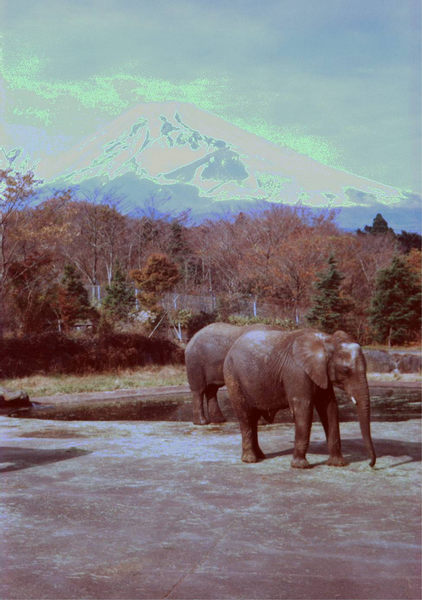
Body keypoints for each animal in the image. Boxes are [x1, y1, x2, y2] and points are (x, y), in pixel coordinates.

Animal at [224, 328, 376, 468]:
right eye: (346, 370)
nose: (370, 464)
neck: (326, 341)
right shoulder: (297, 372)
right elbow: (304, 408)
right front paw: (300, 466)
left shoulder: (321, 373)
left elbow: (329, 407)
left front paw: (338, 464)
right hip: (232, 377)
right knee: (245, 416)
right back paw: (250, 460)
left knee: (253, 418)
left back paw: (261, 456)